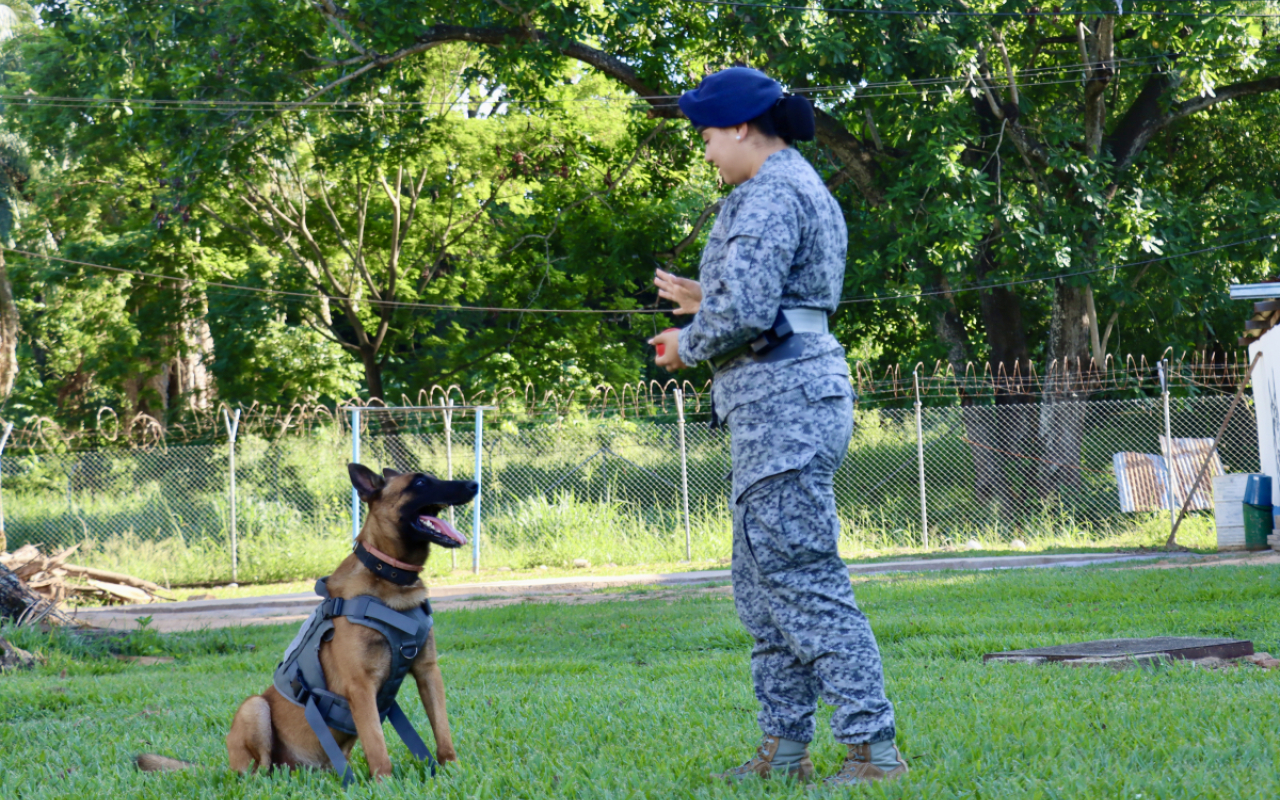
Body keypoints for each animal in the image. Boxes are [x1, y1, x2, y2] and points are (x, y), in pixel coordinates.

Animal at [137, 460, 481, 778]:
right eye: (420, 482)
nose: (474, 484)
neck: (389, 577)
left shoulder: (428, 672)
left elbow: (442, 732)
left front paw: (452, 771)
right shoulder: (361, 687)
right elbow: (377, 745)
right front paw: (385, 783)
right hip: (254, 708)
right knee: (258, 770)